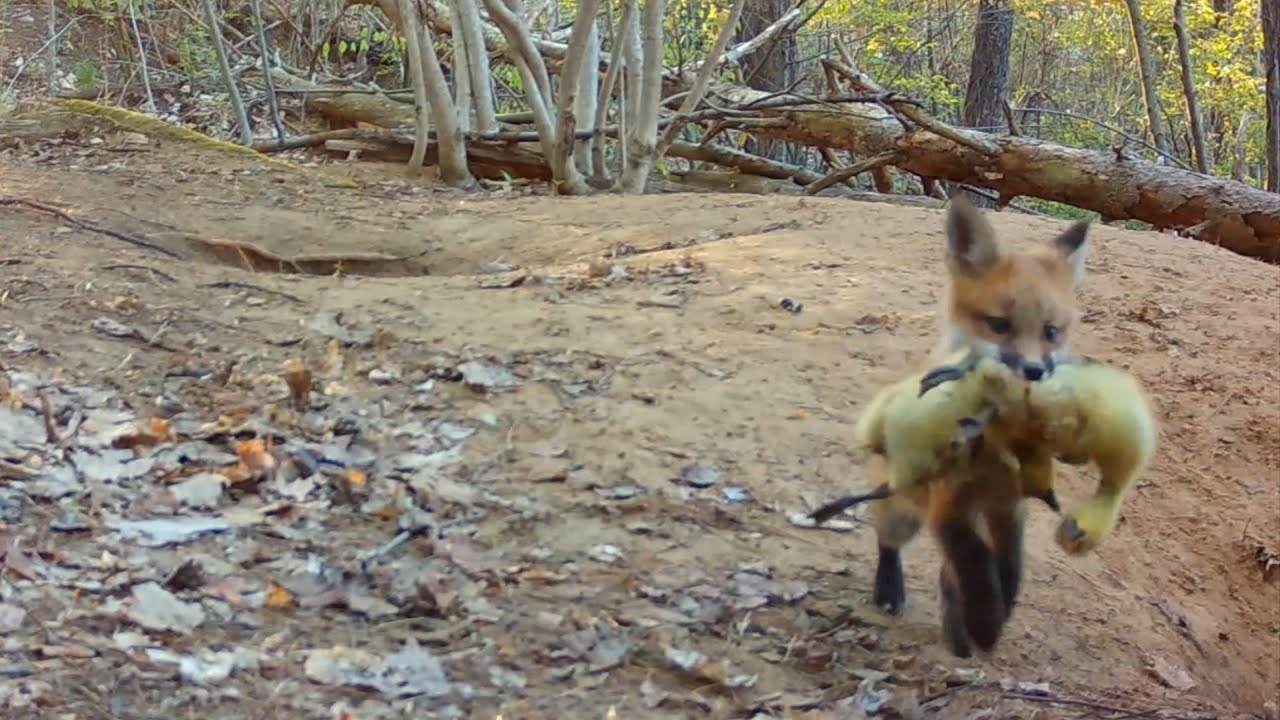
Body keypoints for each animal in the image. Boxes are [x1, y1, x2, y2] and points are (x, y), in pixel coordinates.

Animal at [859, 195, 1091, 655]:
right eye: (999, 325)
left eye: (1051, 332)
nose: (1033, 371)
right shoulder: (947, 505)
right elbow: (976, 564)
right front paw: (986, 623)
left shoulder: (1009, 505)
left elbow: (1009, 566)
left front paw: (996, 612)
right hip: (902, 514)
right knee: (888, 539)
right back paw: (891, 589)